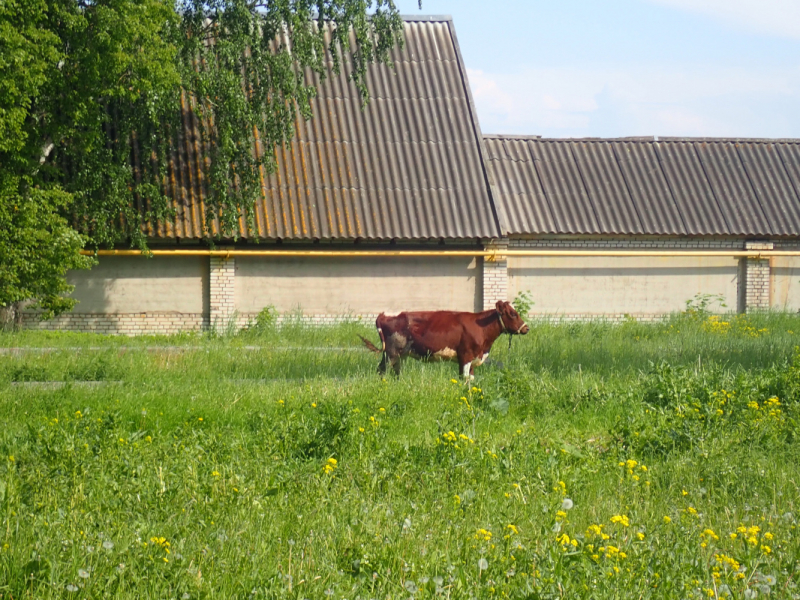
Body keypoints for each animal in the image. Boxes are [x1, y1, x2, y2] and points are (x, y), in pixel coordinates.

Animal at [360, 300, 528, 380]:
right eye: (513, 314)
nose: (527, 328)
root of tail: (383, 314)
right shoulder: (466, 356)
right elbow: (464, 378)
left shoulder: (471, 358)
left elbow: (470, 379)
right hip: (392, 353)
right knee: (383, 371)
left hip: (397, 354)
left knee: (394, 371)